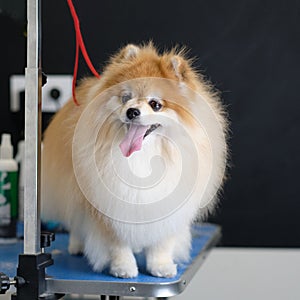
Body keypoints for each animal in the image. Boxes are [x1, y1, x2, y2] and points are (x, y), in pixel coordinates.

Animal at [40, 42, 227, 278]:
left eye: (155, 104)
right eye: (125, 98)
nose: (132, 111)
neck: (144, 157)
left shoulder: (169, 205)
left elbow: (162, 242)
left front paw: (161, 266)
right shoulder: (107, 205)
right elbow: (117, 243)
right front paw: (124, 267)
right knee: (75, 220)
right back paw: (77, 245)